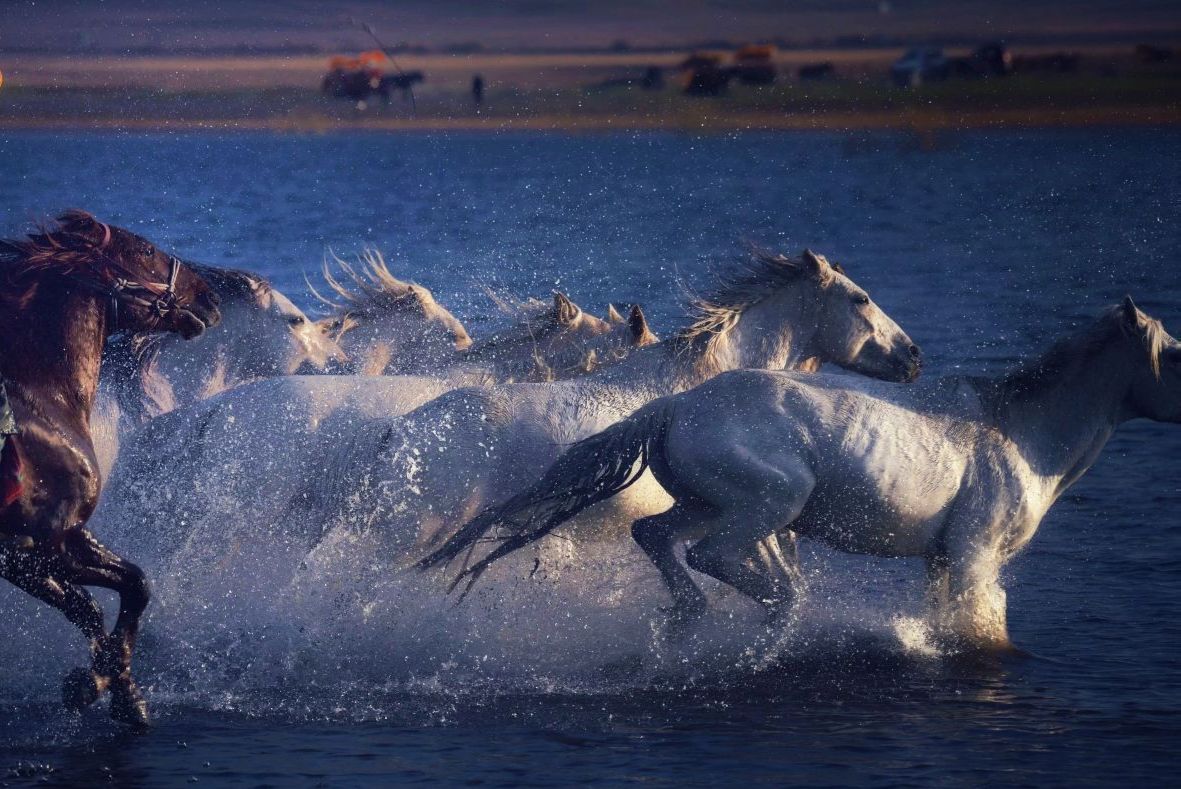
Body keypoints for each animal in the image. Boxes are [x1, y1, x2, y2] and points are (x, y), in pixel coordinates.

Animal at [0, 211, 222, 727]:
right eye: (145, 251)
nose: (211, 297)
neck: (43, 404)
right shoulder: (25, 552)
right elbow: (91, 605)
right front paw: (94, 683)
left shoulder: (67, 535)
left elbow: (133, 585)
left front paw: (122, 691)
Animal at [427, 298, 1181, 651]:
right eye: (1174, 355)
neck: (1020, 432)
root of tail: (672, 406)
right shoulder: (973, 555)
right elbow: (978, 626)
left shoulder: (942, 559)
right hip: (770, 503)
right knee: (711, 556)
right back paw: (773, 614)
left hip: (707, 503)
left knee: (658, 538)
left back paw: (695, 619)